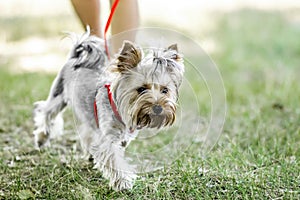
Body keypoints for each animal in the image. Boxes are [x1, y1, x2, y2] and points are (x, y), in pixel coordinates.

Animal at [34, 31, 186, 191]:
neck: (122, 112)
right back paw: (41, 138)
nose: (158, 107)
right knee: (46, 112)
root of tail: (74, 57)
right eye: (141, 89)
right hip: (58, 96)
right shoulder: (108, 139)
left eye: (165, 90)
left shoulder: (122, 138)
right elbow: (114, 159)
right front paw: (123, 182)